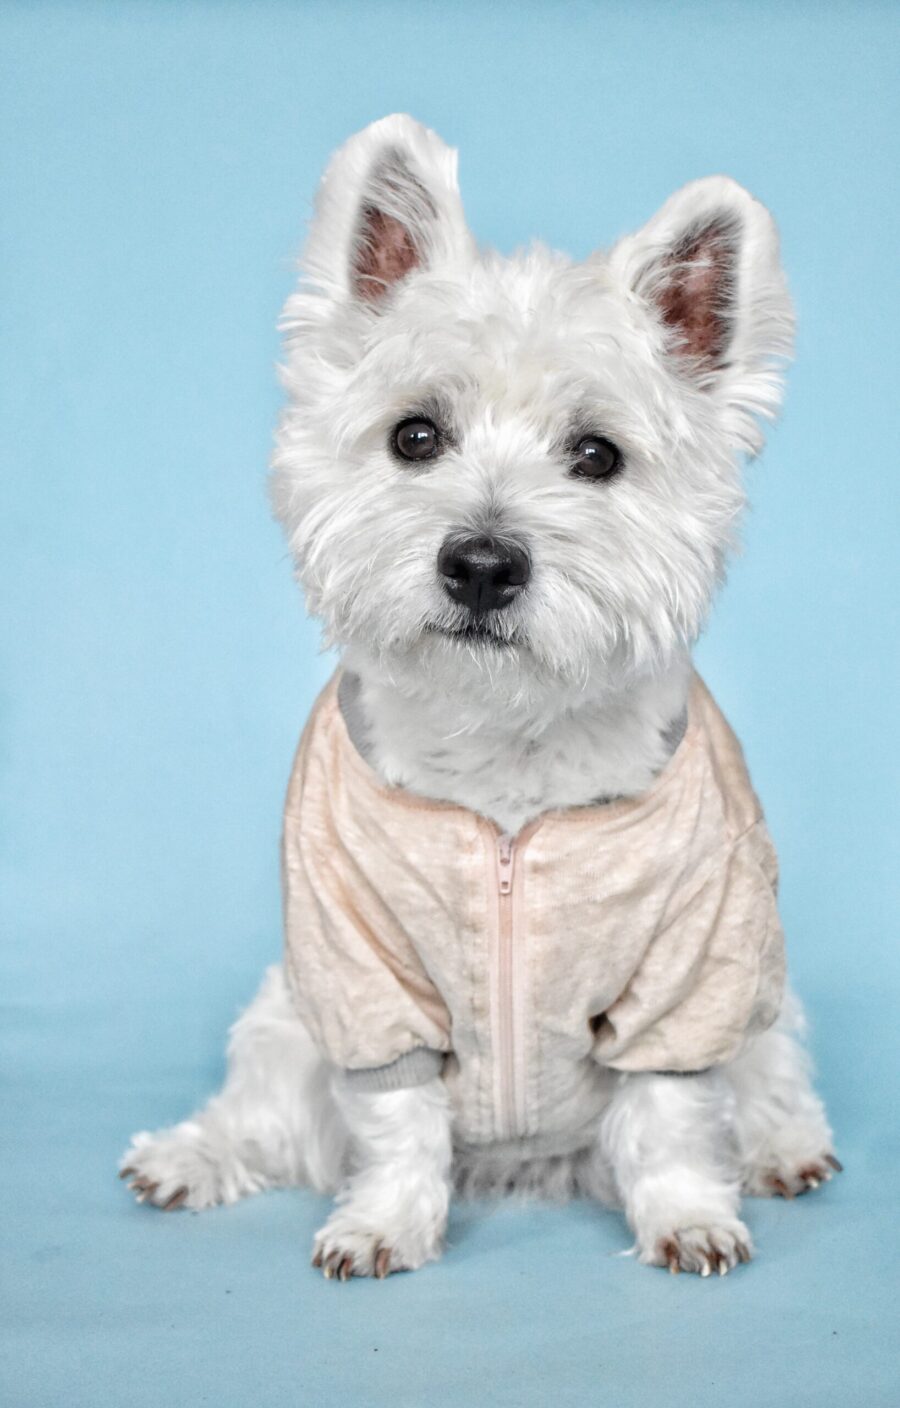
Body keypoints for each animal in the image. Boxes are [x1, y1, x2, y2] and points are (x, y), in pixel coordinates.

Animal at [119, 112, 839, 1278]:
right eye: (415, 434)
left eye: (597, 454)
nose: (483, 564)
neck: (507, 759)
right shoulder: (359, 970)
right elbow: (394, 1118)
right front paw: (383, 1224)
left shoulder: (692, 972)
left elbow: (672, 1118)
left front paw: (688, 1217)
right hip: (284, 1017)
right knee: (264, 1109)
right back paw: (185, 1156)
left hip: (761, 996)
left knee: (769, 1074)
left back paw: (785, 1150)